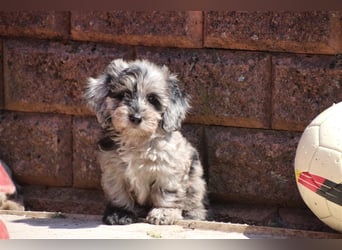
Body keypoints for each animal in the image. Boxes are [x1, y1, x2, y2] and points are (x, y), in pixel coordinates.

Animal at [85, 58, 208, 225]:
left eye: (152, 99)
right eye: (123, 95)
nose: (136, 117)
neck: (136, 139)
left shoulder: (169, 168)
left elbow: (167, 192)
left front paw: (164, 212)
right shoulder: (113, 168)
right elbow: (118, 191)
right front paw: (120, 212)